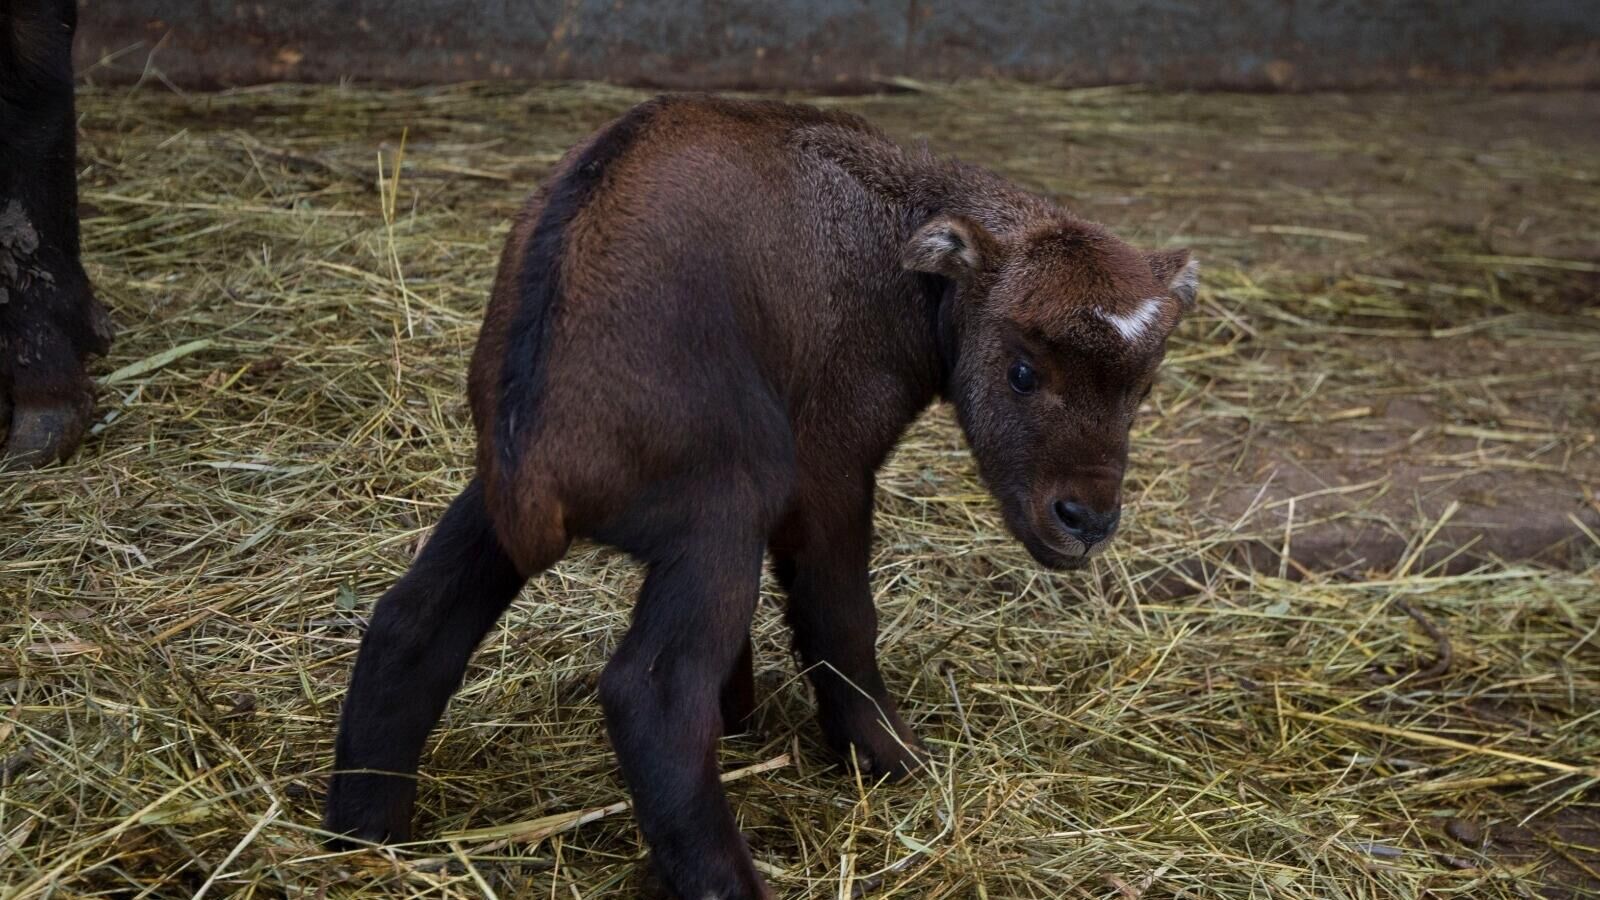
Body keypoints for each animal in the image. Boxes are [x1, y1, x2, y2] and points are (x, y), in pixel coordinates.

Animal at [324, 94, 1203, 890]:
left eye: (1142, 388)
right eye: (1022, 370)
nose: (1086, 518)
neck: (900, 249)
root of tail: (540, 462)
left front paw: (745, 719)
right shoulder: (828, 468)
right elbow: (842, 618)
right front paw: (889, 758)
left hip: (498, 501)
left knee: (409, 627)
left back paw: (365, 840)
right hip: (723, 507)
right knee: (652, 696)